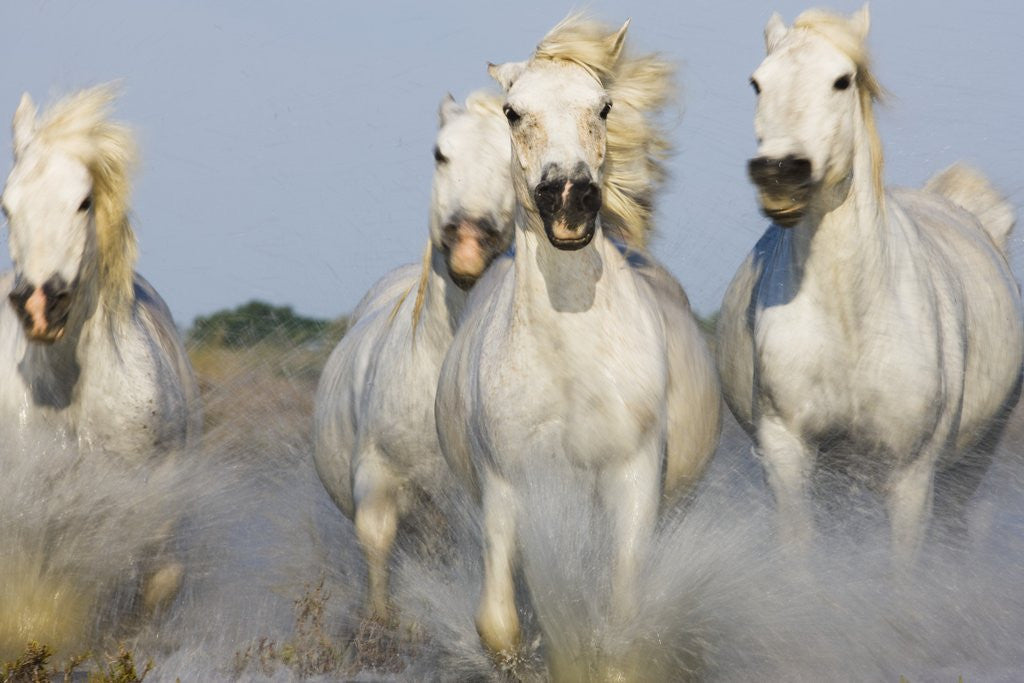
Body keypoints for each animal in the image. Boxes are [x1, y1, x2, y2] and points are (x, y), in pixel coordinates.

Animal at [435, 15, 721, 668]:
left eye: (604, 106)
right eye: (513, 111)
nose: (569, 199)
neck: (570, 365)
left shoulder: (632, 479)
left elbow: (621, 619)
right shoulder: (510, 487)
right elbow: (502, 625)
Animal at [716, 6, 1024, 566]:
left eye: (843, 80)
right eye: (757, 82)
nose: (780, 174)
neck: (852, 320)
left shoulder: (910, 475)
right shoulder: (788, 452)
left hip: (973, 462)